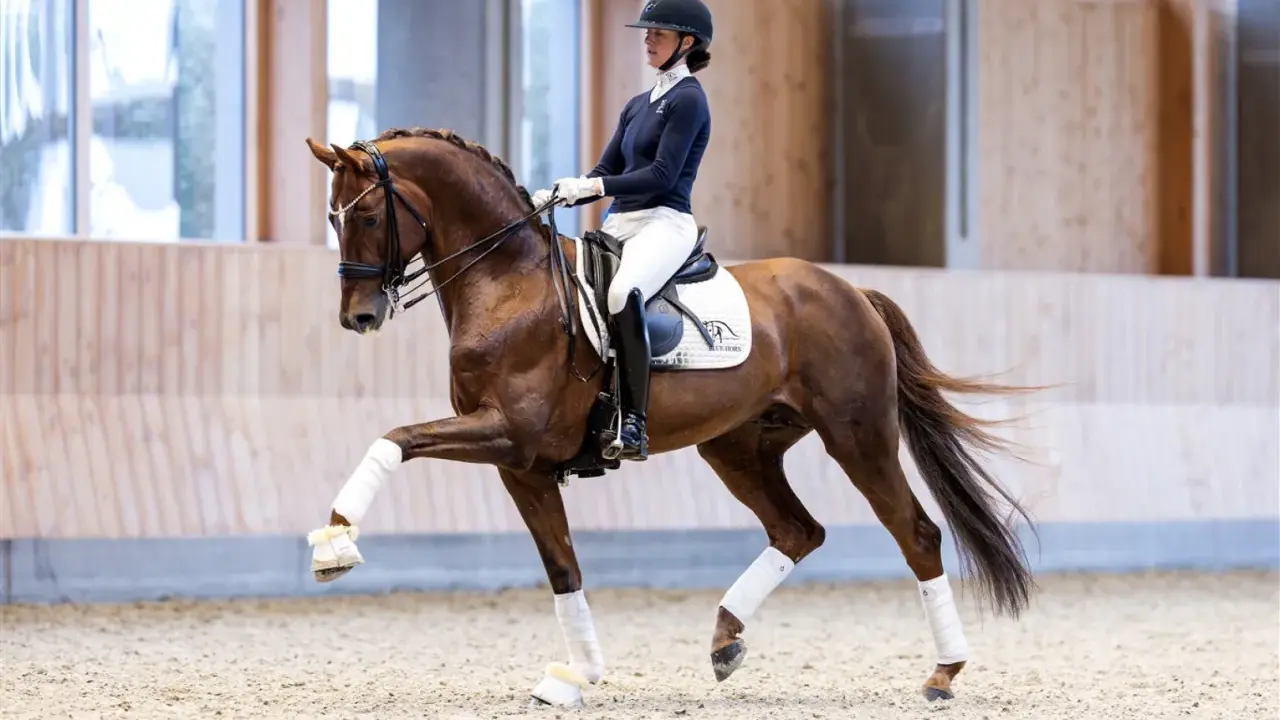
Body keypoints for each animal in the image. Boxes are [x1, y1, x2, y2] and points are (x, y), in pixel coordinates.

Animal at [301, 127, 1040, 709]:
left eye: (369, 216)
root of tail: (850, 288)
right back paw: (725, 640)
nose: (358, 317)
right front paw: (578, 674)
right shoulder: (523, 465)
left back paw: (943, 674)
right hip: (739, 448)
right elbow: (563, 568)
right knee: (797, 530)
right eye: (333, 219)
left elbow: (393, 439)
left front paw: (335, 542)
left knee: (916, 534)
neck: (508, 281)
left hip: (859, 438)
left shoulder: (509, 432)